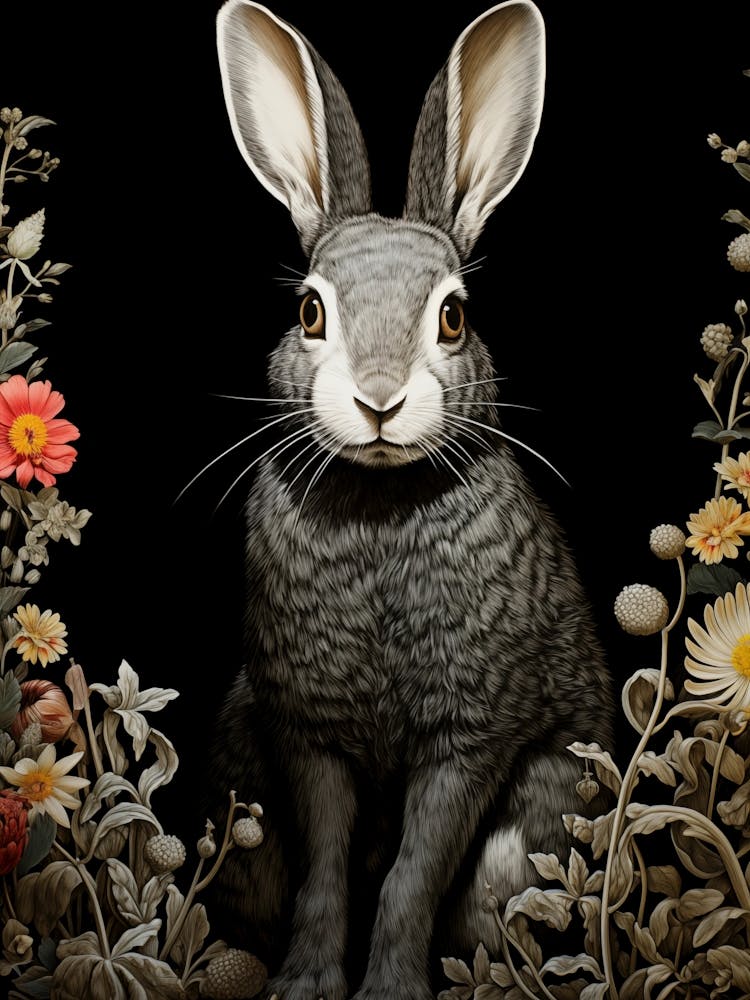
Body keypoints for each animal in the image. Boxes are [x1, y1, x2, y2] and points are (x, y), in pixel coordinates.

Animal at [209, 2, 614, 999]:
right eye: (311, 313)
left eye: (454, 317)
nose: (381, 399)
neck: (382, 504)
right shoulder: (306, 734)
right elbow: (325, 863)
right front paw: (306, 984)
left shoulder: (468, 737)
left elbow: (414, 871)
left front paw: (389, 988)